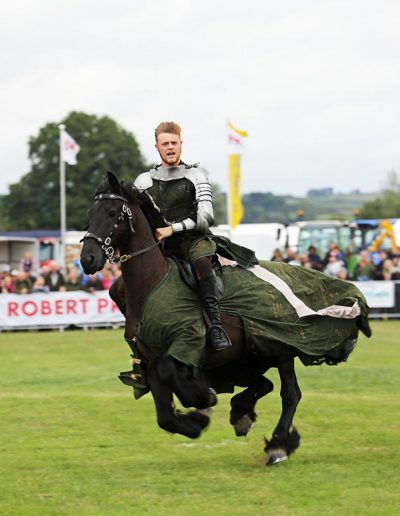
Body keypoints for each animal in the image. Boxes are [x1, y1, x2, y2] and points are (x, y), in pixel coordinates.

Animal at [80, 171, 372, 466]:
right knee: (263, 384)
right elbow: (165, 417)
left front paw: (203, 401)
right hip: (250, 357)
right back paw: (242, 415)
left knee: (290, 395)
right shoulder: (151, 361)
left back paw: (278, 445)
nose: (87, 259)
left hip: (282, 349)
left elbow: (176, 378)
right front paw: (197, 419)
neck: (153, 283)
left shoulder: (184, 347)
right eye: (91, 213)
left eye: (112, 212)